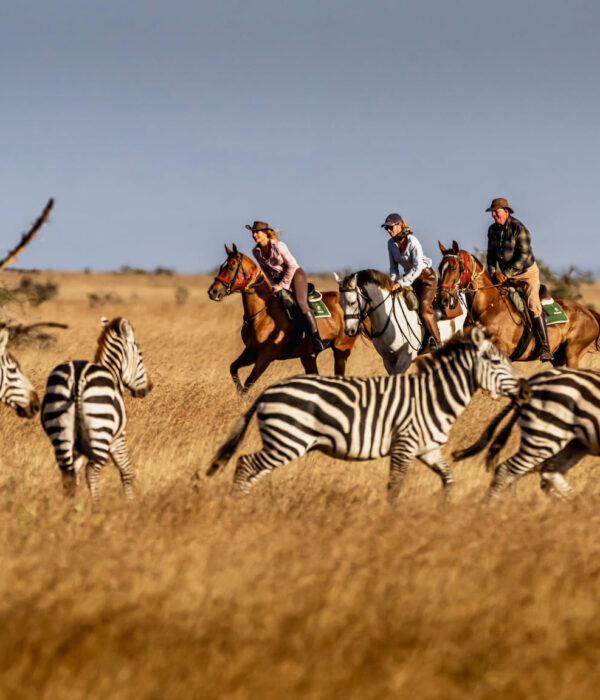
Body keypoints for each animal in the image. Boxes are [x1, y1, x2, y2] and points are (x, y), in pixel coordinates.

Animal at [208, 244, 358, 394]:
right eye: (221, 266)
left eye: (231, 267)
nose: (213, 292)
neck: (263, 313)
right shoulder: (251, 351)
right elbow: (233, 368)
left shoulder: (265, 357)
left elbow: (248, 383)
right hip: (308, 356)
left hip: (340, 350)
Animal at [437, 241, 600, 366]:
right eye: (439, 268)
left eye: (453, 267)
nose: (442, 299)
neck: (487, 307)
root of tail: (589, 312)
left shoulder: (501, 350)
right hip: (560, 358)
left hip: (573, 353)